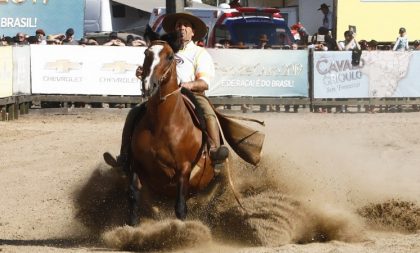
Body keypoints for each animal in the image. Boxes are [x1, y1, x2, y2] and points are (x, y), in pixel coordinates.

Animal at [130, 40, 217, 222]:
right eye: (146, 53)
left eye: (170, 57)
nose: (148, 85)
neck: (161, 124)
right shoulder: (136, 162)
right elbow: (134, 195)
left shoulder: (184, 168)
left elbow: (180, 208)